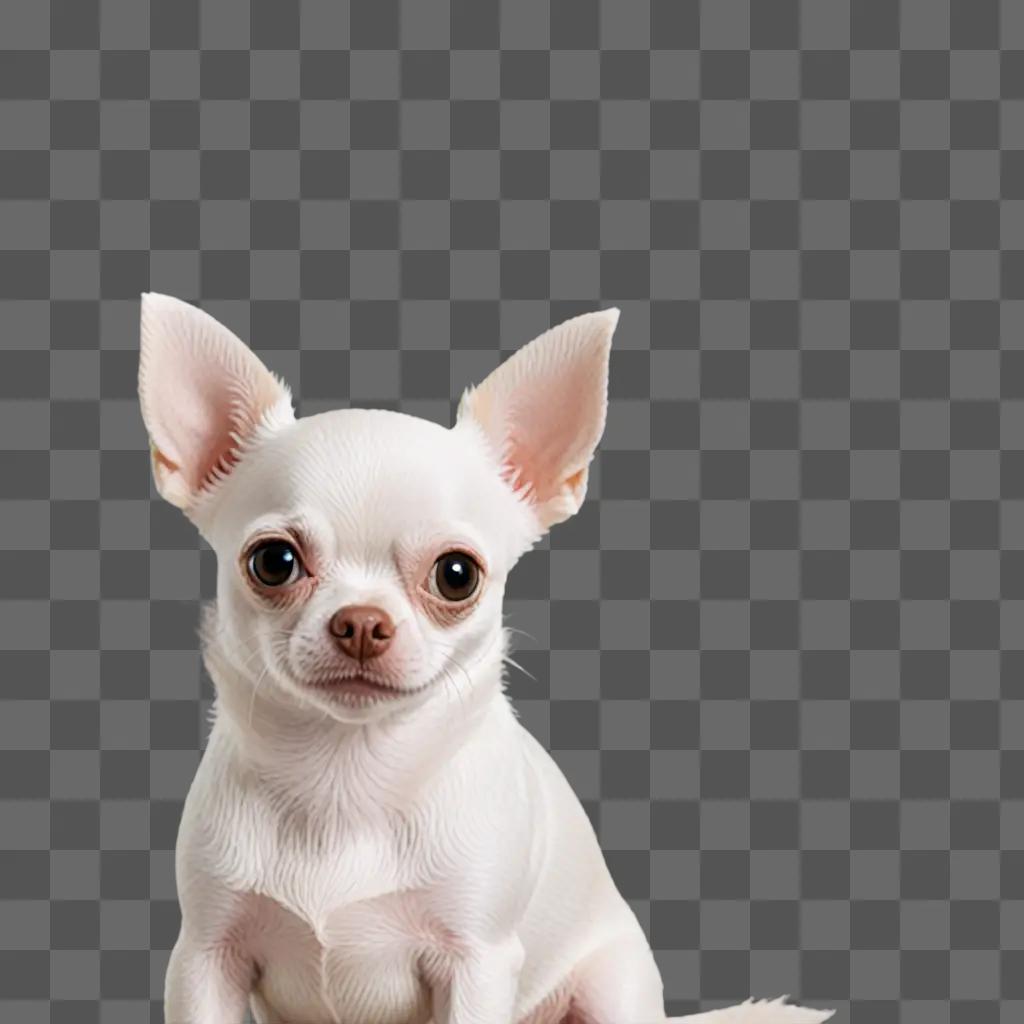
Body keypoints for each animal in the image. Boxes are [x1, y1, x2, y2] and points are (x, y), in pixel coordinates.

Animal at [140, 294, 831, 1024]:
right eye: (273, 562)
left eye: (456, 575)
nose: (362, 622)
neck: (344, 780)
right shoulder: (206, 957)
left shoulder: (476, 961)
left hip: (614, 986)